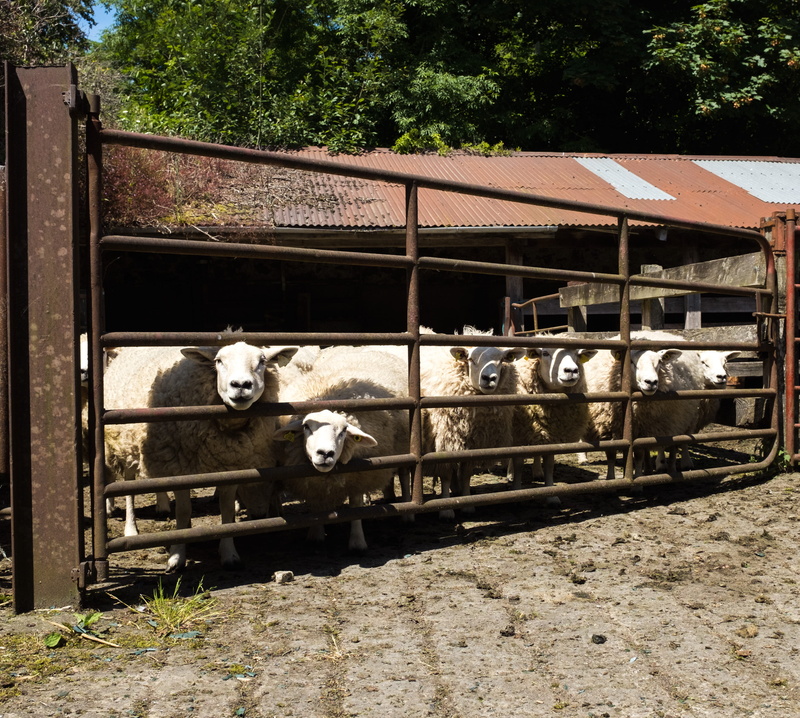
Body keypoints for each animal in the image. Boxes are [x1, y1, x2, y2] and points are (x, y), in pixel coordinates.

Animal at [103, 339, 299, 572]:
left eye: (262, 361)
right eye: (219, 361)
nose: (241, 385)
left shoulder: (232, 467)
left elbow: (226, 511)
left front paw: (229, 554)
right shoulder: (179, 468)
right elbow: (184, 510)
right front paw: (177, 556)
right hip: (128, 444)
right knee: (129, 486)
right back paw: (131, 529)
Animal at [273, 347, 410, 551]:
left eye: (344, 430)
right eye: (306, 427)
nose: (325, 454)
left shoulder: (358, 475)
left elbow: (355, 506)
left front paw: (357, 542)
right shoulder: (312, 483)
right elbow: (316, 507)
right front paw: (315, 535)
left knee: (404, 475)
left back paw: (408, 512)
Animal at [419, 326, 525, 518]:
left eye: (501, 360)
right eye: (471, 359)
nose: (489, 378)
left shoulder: (473, 441)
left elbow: (466, 473)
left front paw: (467, 504)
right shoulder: (445, 438)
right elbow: (446, 474)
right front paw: (446, 510)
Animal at [509, 342, 598, 505]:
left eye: (577, 354)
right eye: (545, 353)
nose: (572, 370)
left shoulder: (551, 434)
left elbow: (549, 465)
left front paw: (551, 495)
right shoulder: (519, 434)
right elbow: (518, 464)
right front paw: (517, 490)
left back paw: (538, 472)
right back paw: (510, 474)